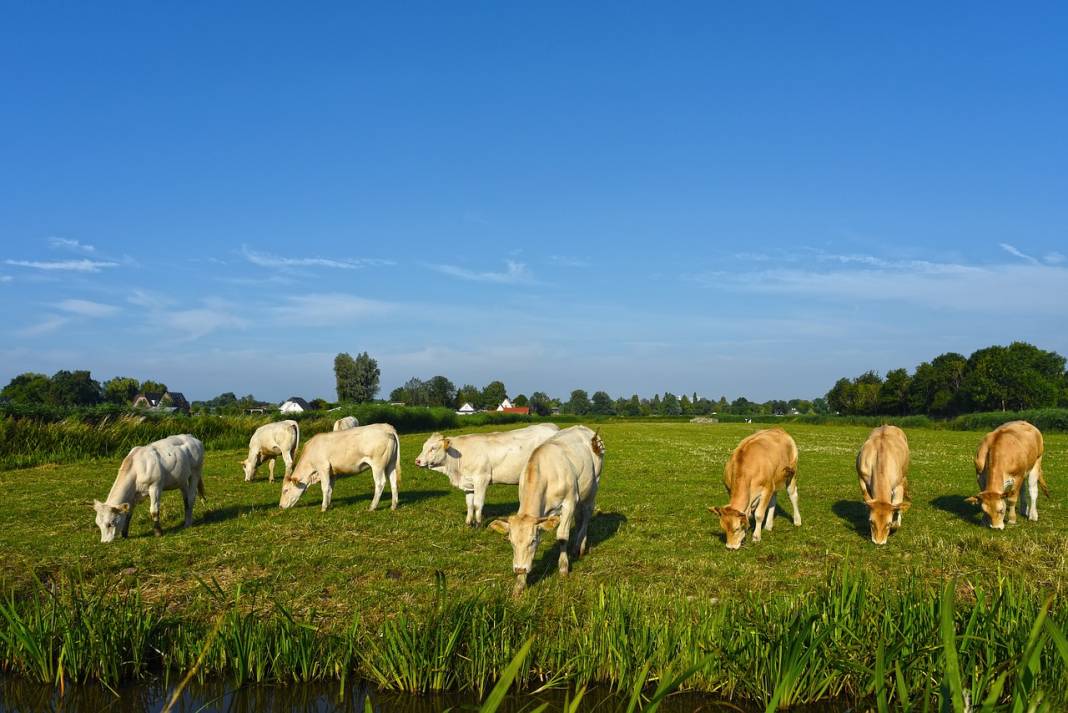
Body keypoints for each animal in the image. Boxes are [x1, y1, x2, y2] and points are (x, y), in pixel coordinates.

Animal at [412, 422, 559, 529]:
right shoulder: (469, 483)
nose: (417, 461)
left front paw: (478, 524)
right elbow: (469, 504)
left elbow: (478, 504)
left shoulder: (481, 479)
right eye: (424, 447)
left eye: (433, 448)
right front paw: (468, 523)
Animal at [489, 426, 606, 593]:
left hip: (593, 485)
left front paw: (563, 568)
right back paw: (576, 547)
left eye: (533, 541)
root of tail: (583, 428)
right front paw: (519, 584)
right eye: (511, 542)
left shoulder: (569, 502)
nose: (519, 569)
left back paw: (581, 545)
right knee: (579, 517)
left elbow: (562, 536)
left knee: (587, 515)